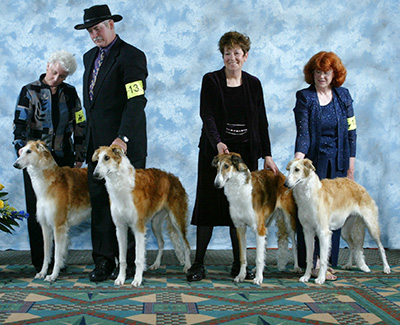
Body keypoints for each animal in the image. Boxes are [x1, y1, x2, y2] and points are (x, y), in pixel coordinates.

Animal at [13, 140, 90, 280]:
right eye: (22, 151)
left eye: (29, 151)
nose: (15, 164)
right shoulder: (45, 225)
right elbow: (47, 253)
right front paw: (42, 273)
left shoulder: (58, 225)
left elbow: (57, 254)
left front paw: (53, 275)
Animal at [92, 145, 191, 286]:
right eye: (97, 159)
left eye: (107, 157)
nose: (95, 175)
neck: (120, 184)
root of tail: (174, 178)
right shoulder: (120, 227)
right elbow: (122, 259)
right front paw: (120, 278)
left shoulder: (138, 227)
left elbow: (138, 259)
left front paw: (137, 279)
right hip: (156, 223)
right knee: (161, 243)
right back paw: (156, 264)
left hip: (176, 219)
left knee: (186, 244)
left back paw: (187, 266)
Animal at [211, 152, 298, 284]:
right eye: (217, 167)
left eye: (226, 166)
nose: (216, 185)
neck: (239, 189)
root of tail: (280, 175)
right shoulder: (240, 227)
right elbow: (243, 256)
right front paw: (241, 275)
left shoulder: (259, 229)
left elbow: (258, 257)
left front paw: (258, 278)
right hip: (266, 223)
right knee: (264, 248)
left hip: (288, 221)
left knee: (294, 243)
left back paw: (297, 267)